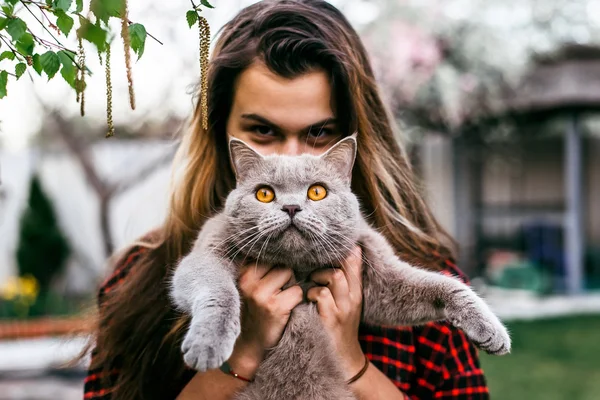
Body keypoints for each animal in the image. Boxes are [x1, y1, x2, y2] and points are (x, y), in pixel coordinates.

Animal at [170, 136, 510, 398]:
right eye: (264, 193)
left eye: (317, 191)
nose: (291, 207)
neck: (300, 270)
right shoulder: (206, 252)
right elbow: (218, 291)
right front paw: (207, 344)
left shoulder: (381, 278)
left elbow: (444, 285)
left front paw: (491, 331)